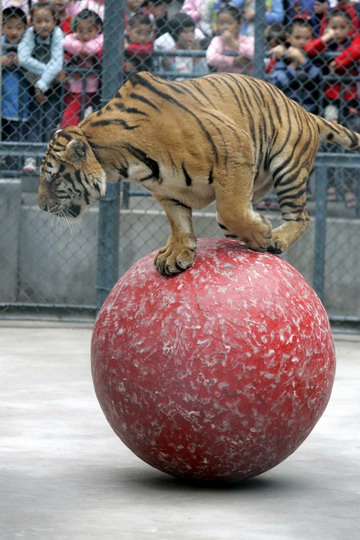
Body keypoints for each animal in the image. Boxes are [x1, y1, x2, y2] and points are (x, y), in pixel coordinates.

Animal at [37, 70, 360, 274]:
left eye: (53, 178)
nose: (40, 206)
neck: (123, 163)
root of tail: (304, 111)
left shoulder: (234, 149)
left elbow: (231, 210)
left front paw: (262, 235)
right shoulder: (166, 190)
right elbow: (179, 222)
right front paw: (176, 254)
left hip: (288, 166)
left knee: (299, 216)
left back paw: (276, 238)